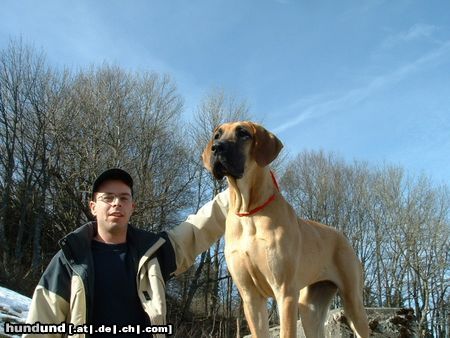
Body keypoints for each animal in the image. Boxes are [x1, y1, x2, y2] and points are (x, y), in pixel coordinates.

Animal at [203, 122, 370, 338]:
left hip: (353, 302)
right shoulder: (250, 297)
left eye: (243, 133)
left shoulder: (285, 292)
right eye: (217, 135)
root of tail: (341, 236)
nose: (216, 148)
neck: (248, 211)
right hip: (310, 309)